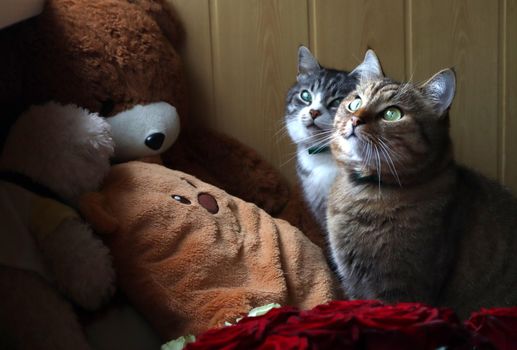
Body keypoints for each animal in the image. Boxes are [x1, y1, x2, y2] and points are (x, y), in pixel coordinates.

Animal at [326, 50, 516, 318]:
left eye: (392, 114)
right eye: (355, 103)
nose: (355, 119)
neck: (365, 191)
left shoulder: (401, 288)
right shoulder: (353, 284)